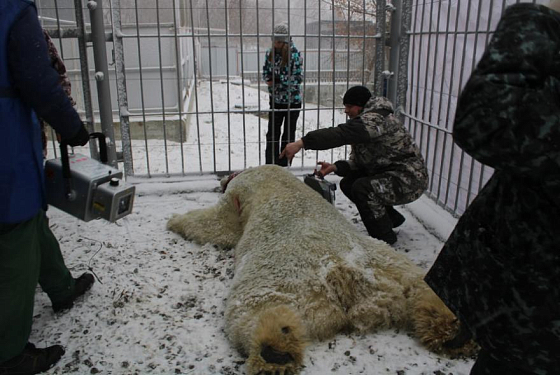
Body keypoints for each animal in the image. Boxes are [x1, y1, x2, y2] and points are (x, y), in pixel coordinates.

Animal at [167, 166, 476, 374]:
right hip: (388, 264)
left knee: (251, 311)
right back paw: (451, 329)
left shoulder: (238, 195)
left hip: (277, 273)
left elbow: (219, 224)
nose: (219, 181)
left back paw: (276, 349)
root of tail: (342, 271)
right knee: (422, 284)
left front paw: (174, 220)